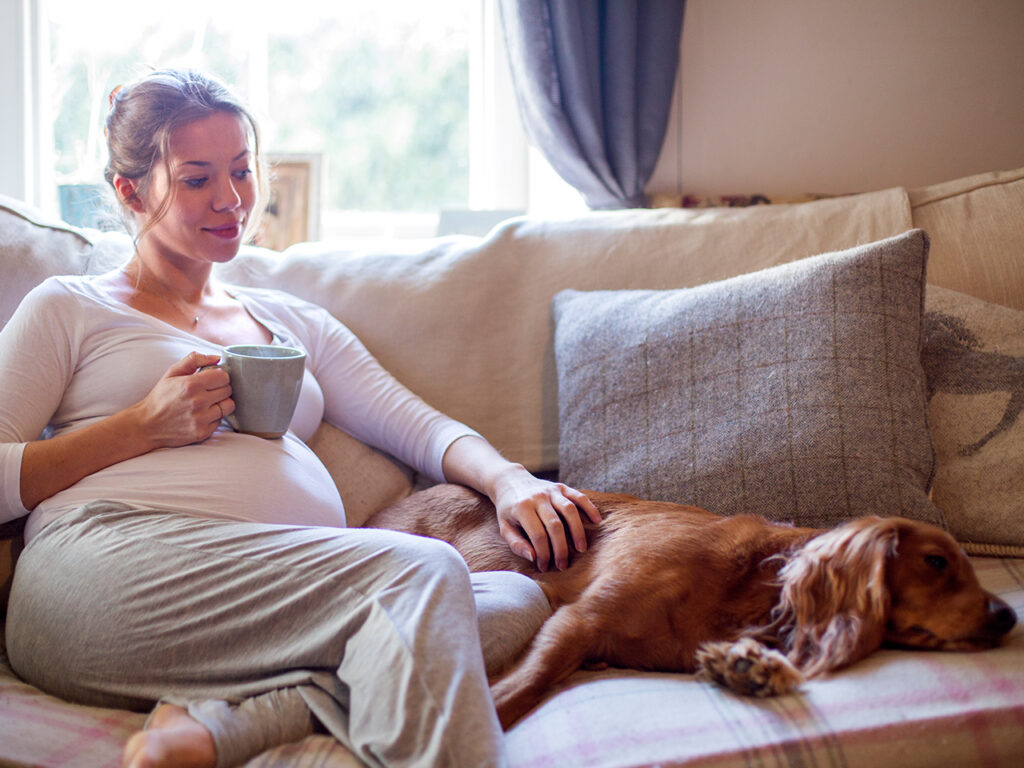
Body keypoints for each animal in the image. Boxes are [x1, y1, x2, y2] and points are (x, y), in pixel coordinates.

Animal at [364, 483, 1011, 729]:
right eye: (937, 562)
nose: (1009, 617)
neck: (750, 585)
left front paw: (750, 668)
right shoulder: (578, 619)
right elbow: (528, 682)